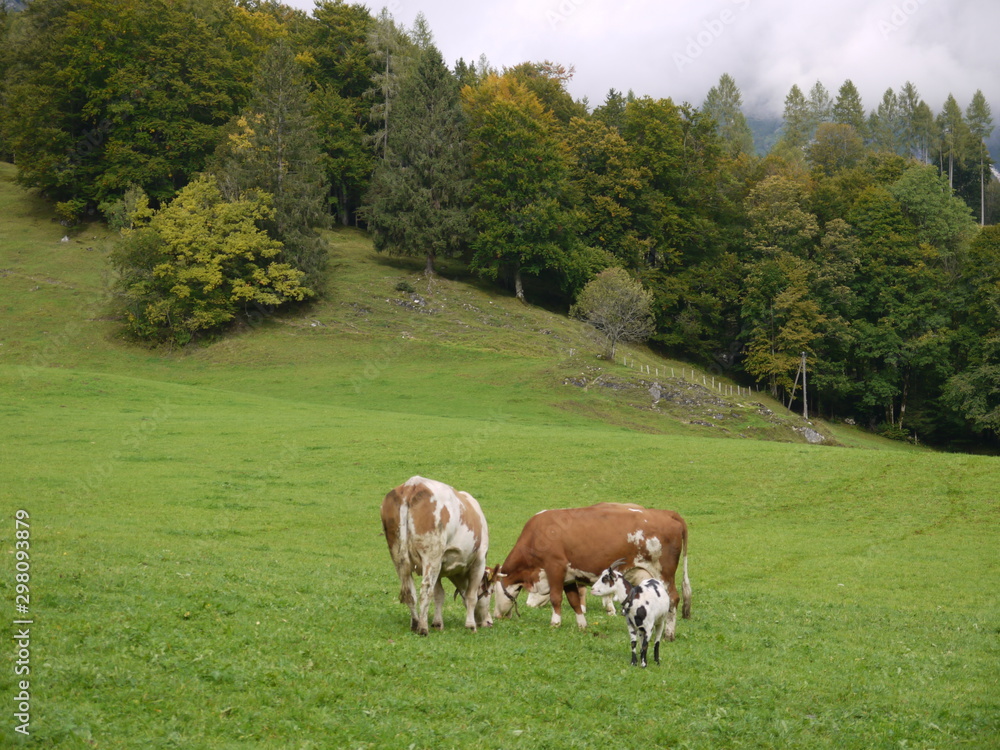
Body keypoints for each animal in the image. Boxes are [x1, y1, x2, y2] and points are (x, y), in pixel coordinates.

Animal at [380, 476, 491, 635]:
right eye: (490, 592)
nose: (489, 622)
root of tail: (411, 485)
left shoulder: (440, 565)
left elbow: (439, 595)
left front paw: (438, 623)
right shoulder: (479, 561)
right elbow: (471, 596)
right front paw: (470, 625)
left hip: (397, 554)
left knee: (410, 591)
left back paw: (415, 623)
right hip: (431, 554)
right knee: (425, 590)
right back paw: (423, 628)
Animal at [493, 502, 690, 630]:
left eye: (493, 591)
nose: (496, 615)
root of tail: (666, 513)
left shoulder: (555, 567)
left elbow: (556, 598)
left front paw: (555, 623)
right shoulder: (568, 577)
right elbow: (574, 601)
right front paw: (582, 624)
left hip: (663, 573)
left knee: (673, 598)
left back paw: (668, 633)